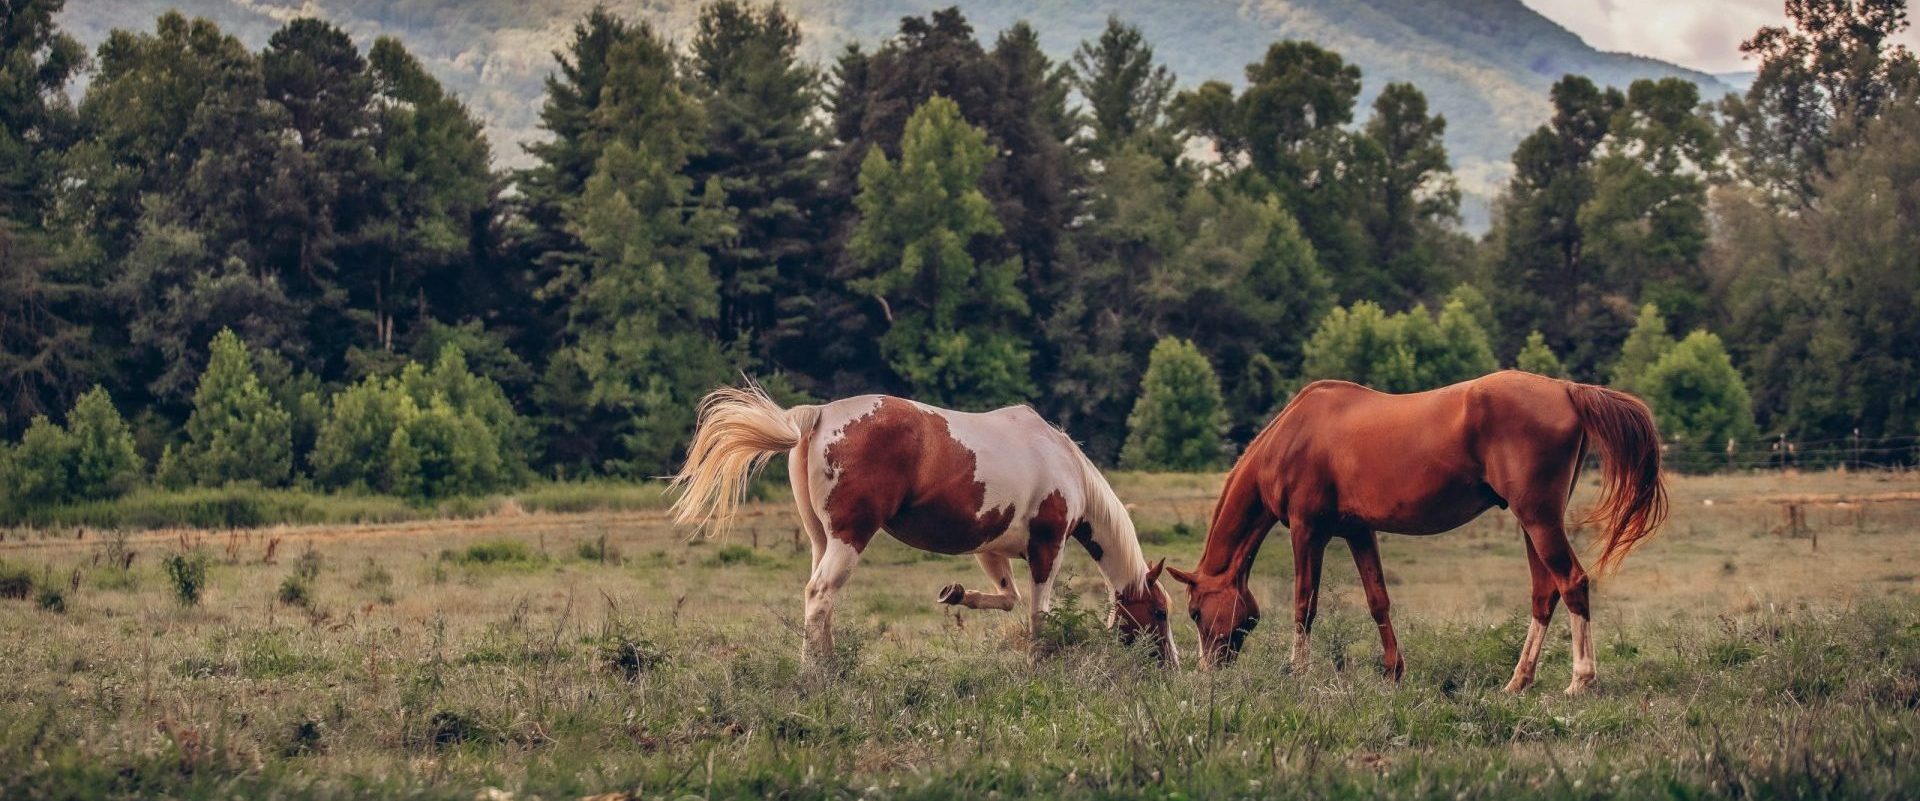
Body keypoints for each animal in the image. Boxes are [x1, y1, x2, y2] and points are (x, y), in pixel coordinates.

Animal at [675, 384, 1182, 664]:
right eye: (1160, 613)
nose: (1172, 667)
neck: (1064, 464)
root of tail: (818, 415)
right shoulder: (1047, 547)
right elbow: (1040, 613)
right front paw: (1040, 666)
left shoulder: (989, 550)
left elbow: (1008, 599)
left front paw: (956, 595)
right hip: (850, 539)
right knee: (819, 596)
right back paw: (818, 676)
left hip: (822, 540)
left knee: (819, 602)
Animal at [1159, 370, 1658, 691]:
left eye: (1196, 613)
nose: (1207, 672)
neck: (1292, 436)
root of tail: (1567, 391)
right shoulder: (1359, 532)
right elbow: (1378, 600)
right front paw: (1393, 671)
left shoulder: (1308, 531)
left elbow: (1304, 604)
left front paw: (1298, 671)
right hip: (1533, 524)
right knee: (1544, 593)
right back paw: (1518, 682)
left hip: (1538, 520)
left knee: (1572, 583)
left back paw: (1580, 681)